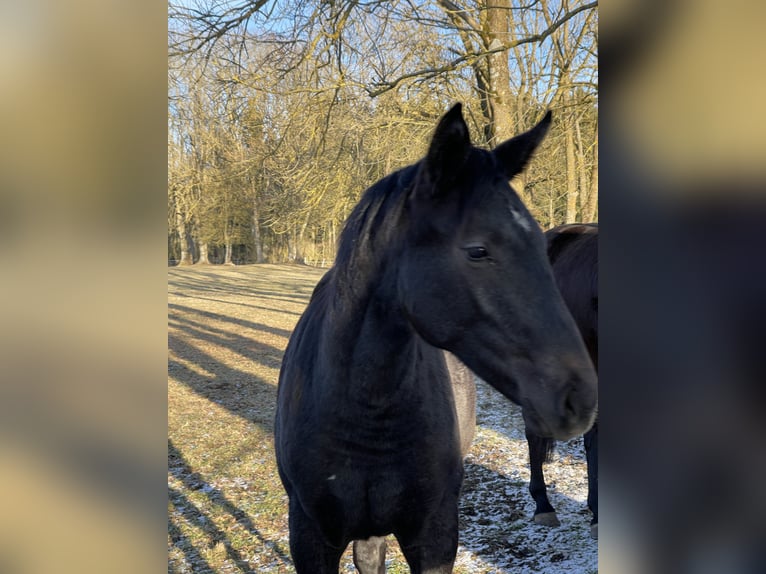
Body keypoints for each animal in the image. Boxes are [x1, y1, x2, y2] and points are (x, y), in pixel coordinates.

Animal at [276, 104, 600, 574]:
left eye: (540, 247)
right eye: (478, 250)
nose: (581, 397)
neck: (366, 414)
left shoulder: (434, 535)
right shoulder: (310, 538)